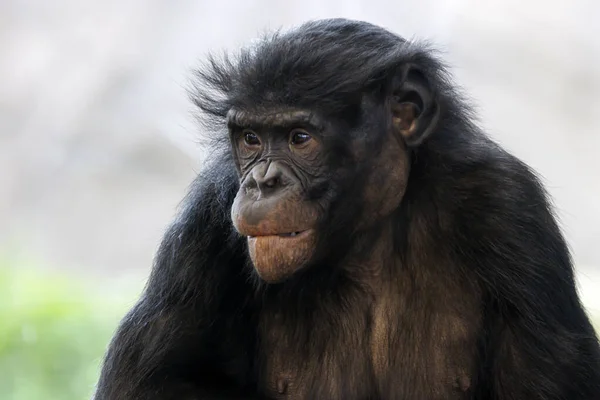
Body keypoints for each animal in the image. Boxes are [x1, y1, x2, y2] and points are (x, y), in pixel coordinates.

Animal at [92, 18, 600, 400]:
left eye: (300, 138)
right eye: (251, 138)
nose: (261, 182)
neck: (366, 239)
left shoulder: (509, 208)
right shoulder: (204, 224)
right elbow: (151, 384)